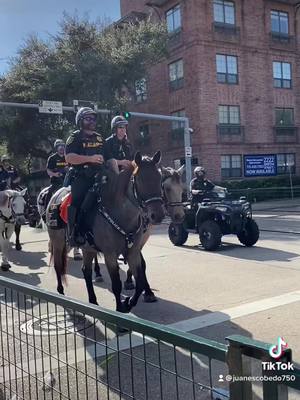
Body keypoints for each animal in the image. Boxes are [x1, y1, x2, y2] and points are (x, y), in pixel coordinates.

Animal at [47, 152, 165, 312]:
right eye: (140, 179)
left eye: (159, 178)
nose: (157, 215)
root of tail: (55, 195)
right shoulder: (110, 254)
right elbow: (116, 285)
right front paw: (120, 309)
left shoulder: (133, 252)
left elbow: (140, 282)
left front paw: (129, 302)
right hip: (58, 243)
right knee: (58, 266)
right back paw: (61, 292)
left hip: (88, 248)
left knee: (86, 271)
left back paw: (93, 301)